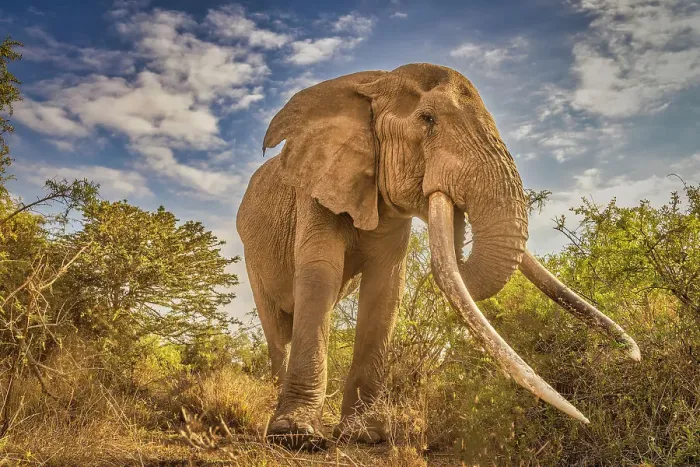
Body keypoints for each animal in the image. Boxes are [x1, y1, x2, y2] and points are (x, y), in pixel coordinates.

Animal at [236, 63, 640, 448]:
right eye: (428, 119)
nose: (633, 356)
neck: (374, 83)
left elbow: (385, 288)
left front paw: (366, 435)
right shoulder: (317, 185)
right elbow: (321, 273)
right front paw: (295, 436)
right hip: (250, 255)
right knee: (277, 327)